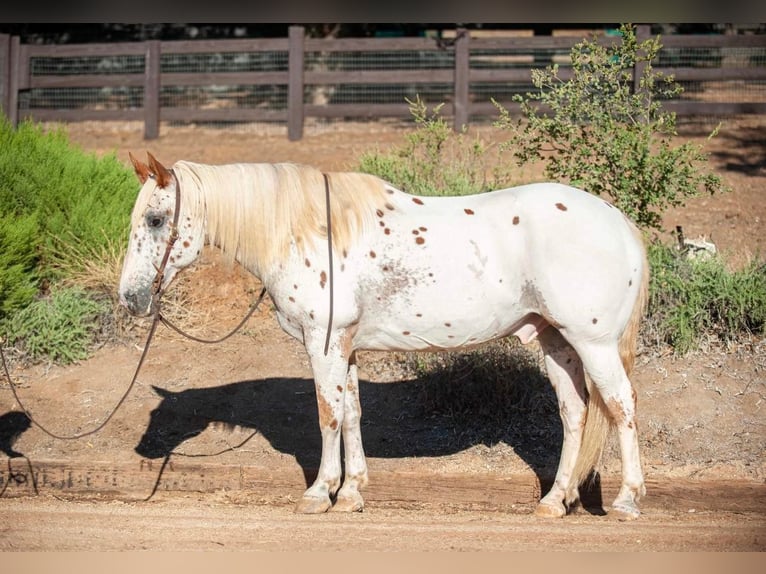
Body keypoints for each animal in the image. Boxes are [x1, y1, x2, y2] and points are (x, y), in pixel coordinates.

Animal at [118, 153, 648, 520]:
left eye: (155, 219)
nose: (130, 297)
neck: (306, 231)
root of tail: (617, 221)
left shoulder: (323, 342)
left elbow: (328, 416)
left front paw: (319, 493)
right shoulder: (346, 348)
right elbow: (352, 413)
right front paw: (352, 493)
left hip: (593, 345)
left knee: (621, 407)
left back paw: (627, 500)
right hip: (557, 344)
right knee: (575, 414)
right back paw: (555, 501)